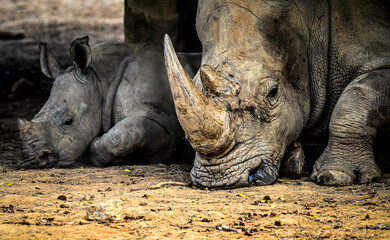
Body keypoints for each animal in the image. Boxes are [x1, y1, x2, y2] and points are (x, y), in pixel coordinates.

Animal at [16, 36, 200, 169]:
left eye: (68, 122)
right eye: (36, 113)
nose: (30, 160)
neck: (100, 81)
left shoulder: (166, 125)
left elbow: (120, 136)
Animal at [165, 0, 390, 188]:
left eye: (273, 93)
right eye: (195, 82)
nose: (217, 178)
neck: (310, 25)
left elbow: (357, 99)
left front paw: (335, 176)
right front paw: (295, 159)